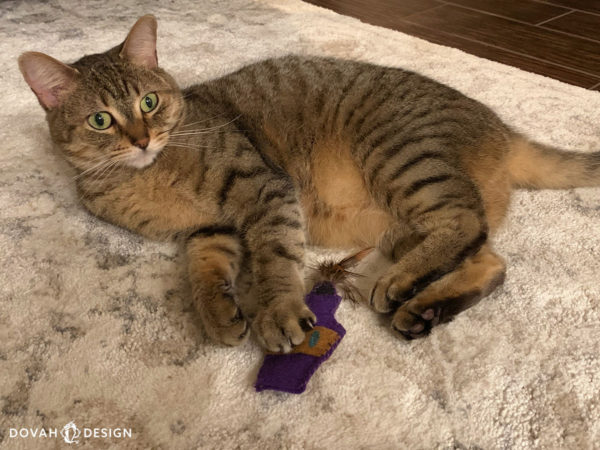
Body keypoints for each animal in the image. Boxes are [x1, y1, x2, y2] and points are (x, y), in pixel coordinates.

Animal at [18, 14, 600, 350]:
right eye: (100, 120)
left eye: (149, 102)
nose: (141, 139)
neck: (146, 175)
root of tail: (504, 129)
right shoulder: (209, 230)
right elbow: (203, 272)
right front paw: (218, 315)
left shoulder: (264, 188)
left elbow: (275, 258)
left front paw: (275, 311)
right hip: (406, 217)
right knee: (491, 259)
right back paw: (424, 308)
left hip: (399, 156)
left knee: (464, 220)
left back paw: (398, 285)